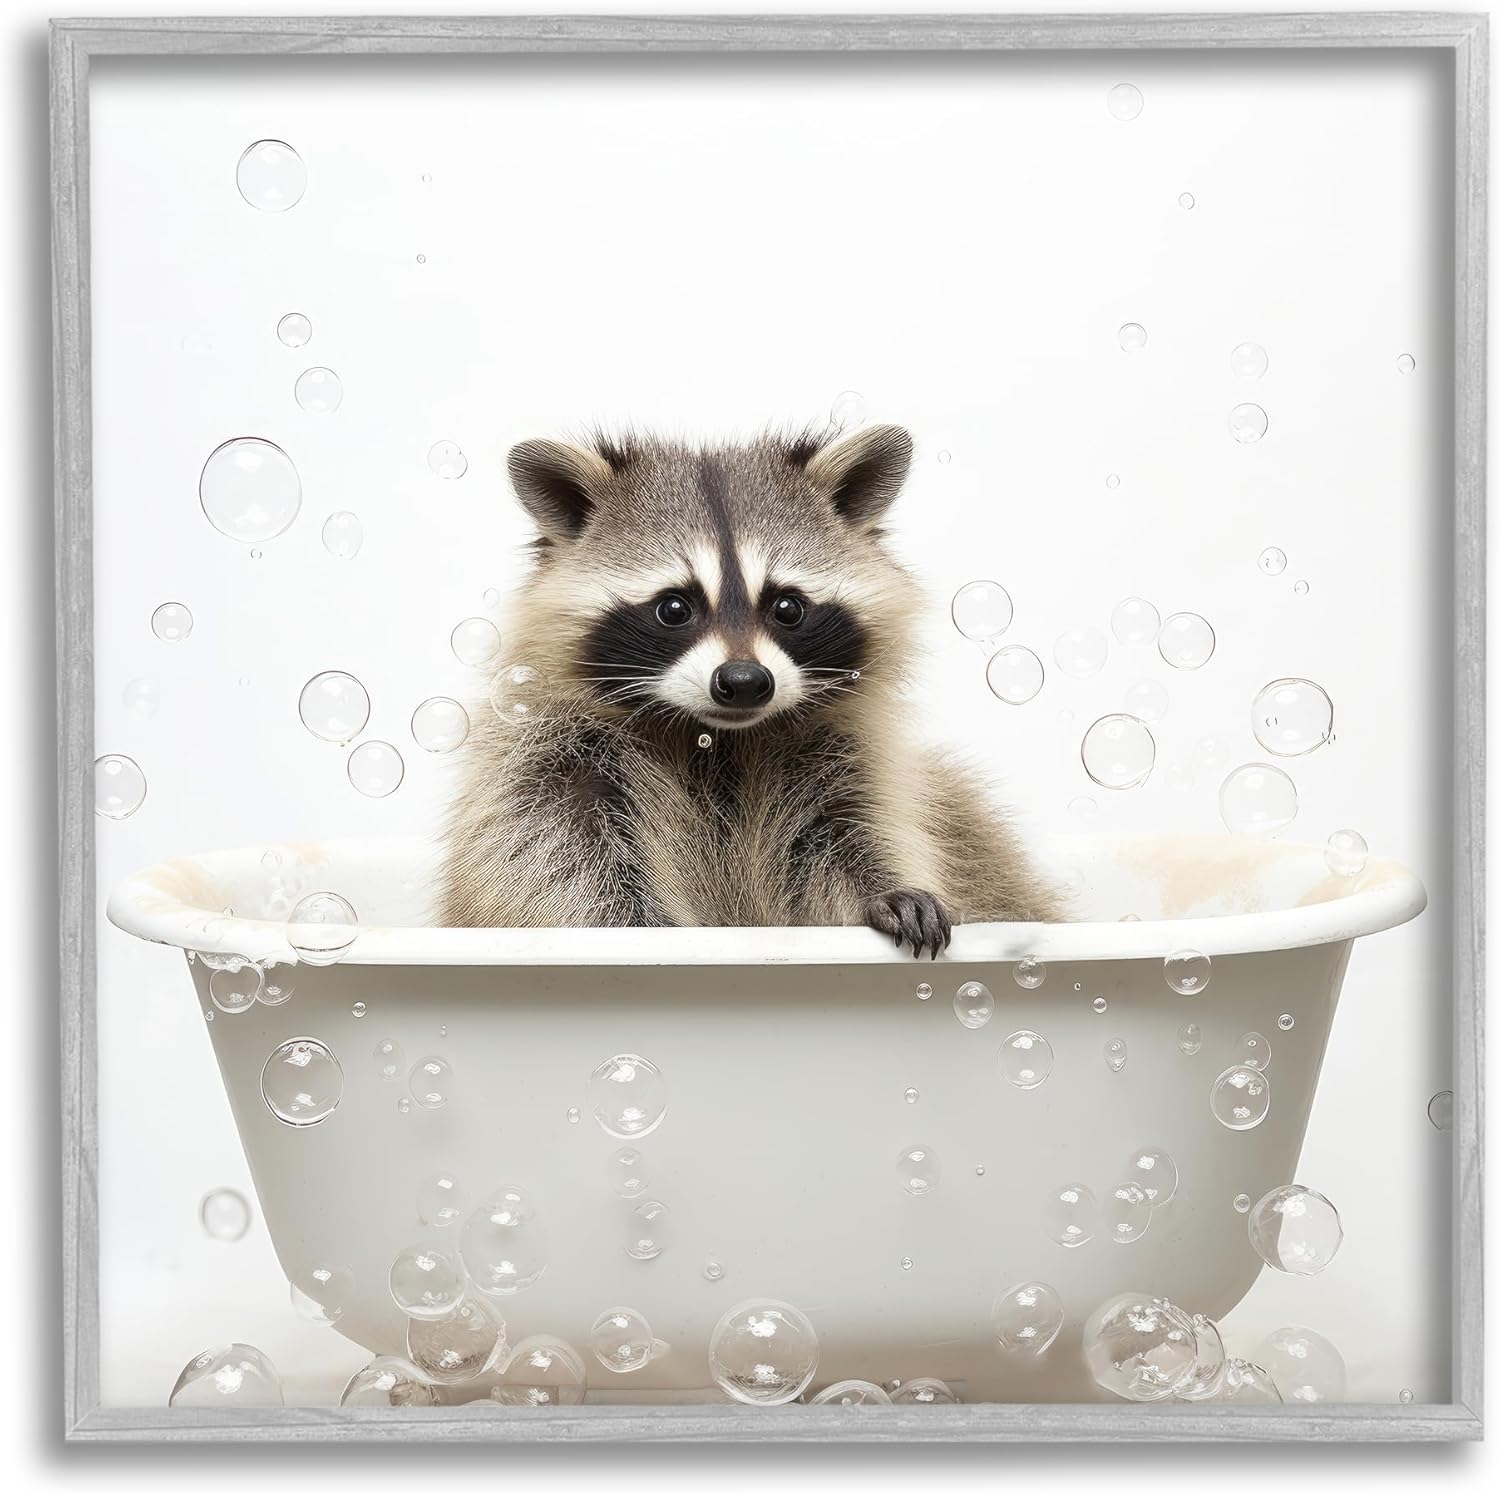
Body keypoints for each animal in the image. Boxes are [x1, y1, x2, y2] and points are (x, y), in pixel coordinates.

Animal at [439, 423, 1061, 954]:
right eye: (674, 608)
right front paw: (633, 927)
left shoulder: (845, 752)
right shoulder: (550, 753)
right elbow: (548, 856)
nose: (743, 683)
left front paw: (884, 885)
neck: (717, 736)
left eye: (787, 607)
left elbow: (851, 832)